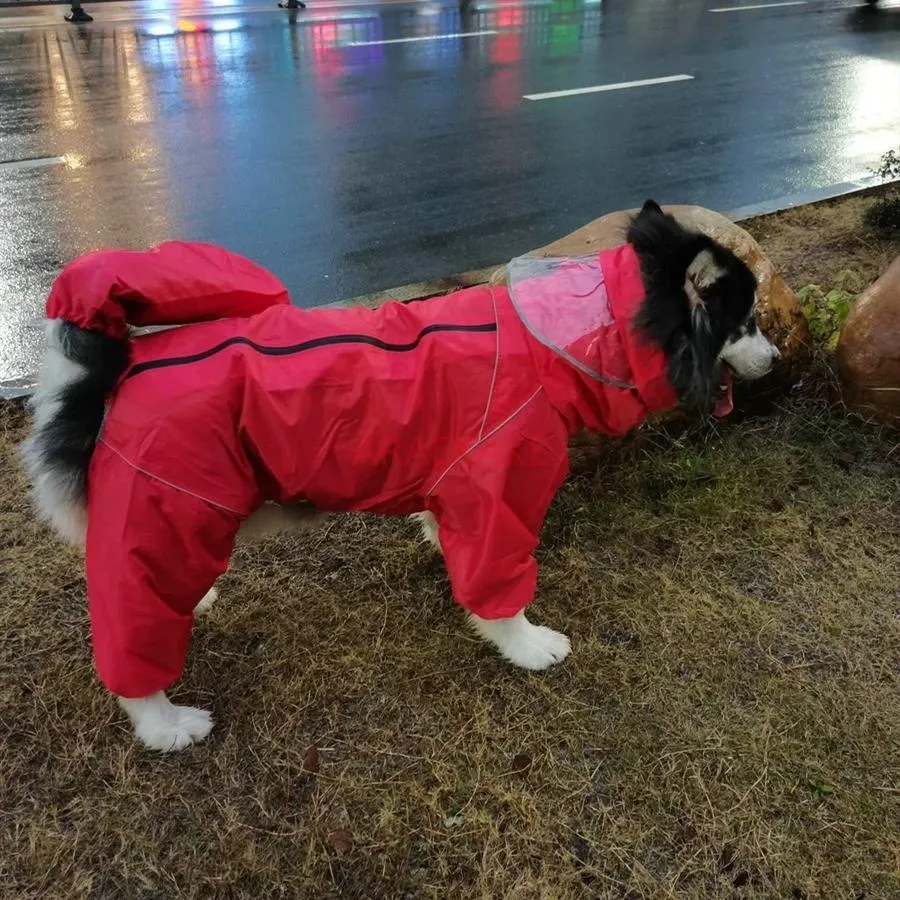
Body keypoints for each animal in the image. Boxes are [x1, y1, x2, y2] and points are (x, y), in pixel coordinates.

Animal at [21, 202, 780, 752]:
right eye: (744, 322)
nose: (776, 359)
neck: (559, 339)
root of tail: (114, 371)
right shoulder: (497, 491)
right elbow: (499, 592)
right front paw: (527, 646)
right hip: (165, 509)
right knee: (132, 650)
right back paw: (165, 724)